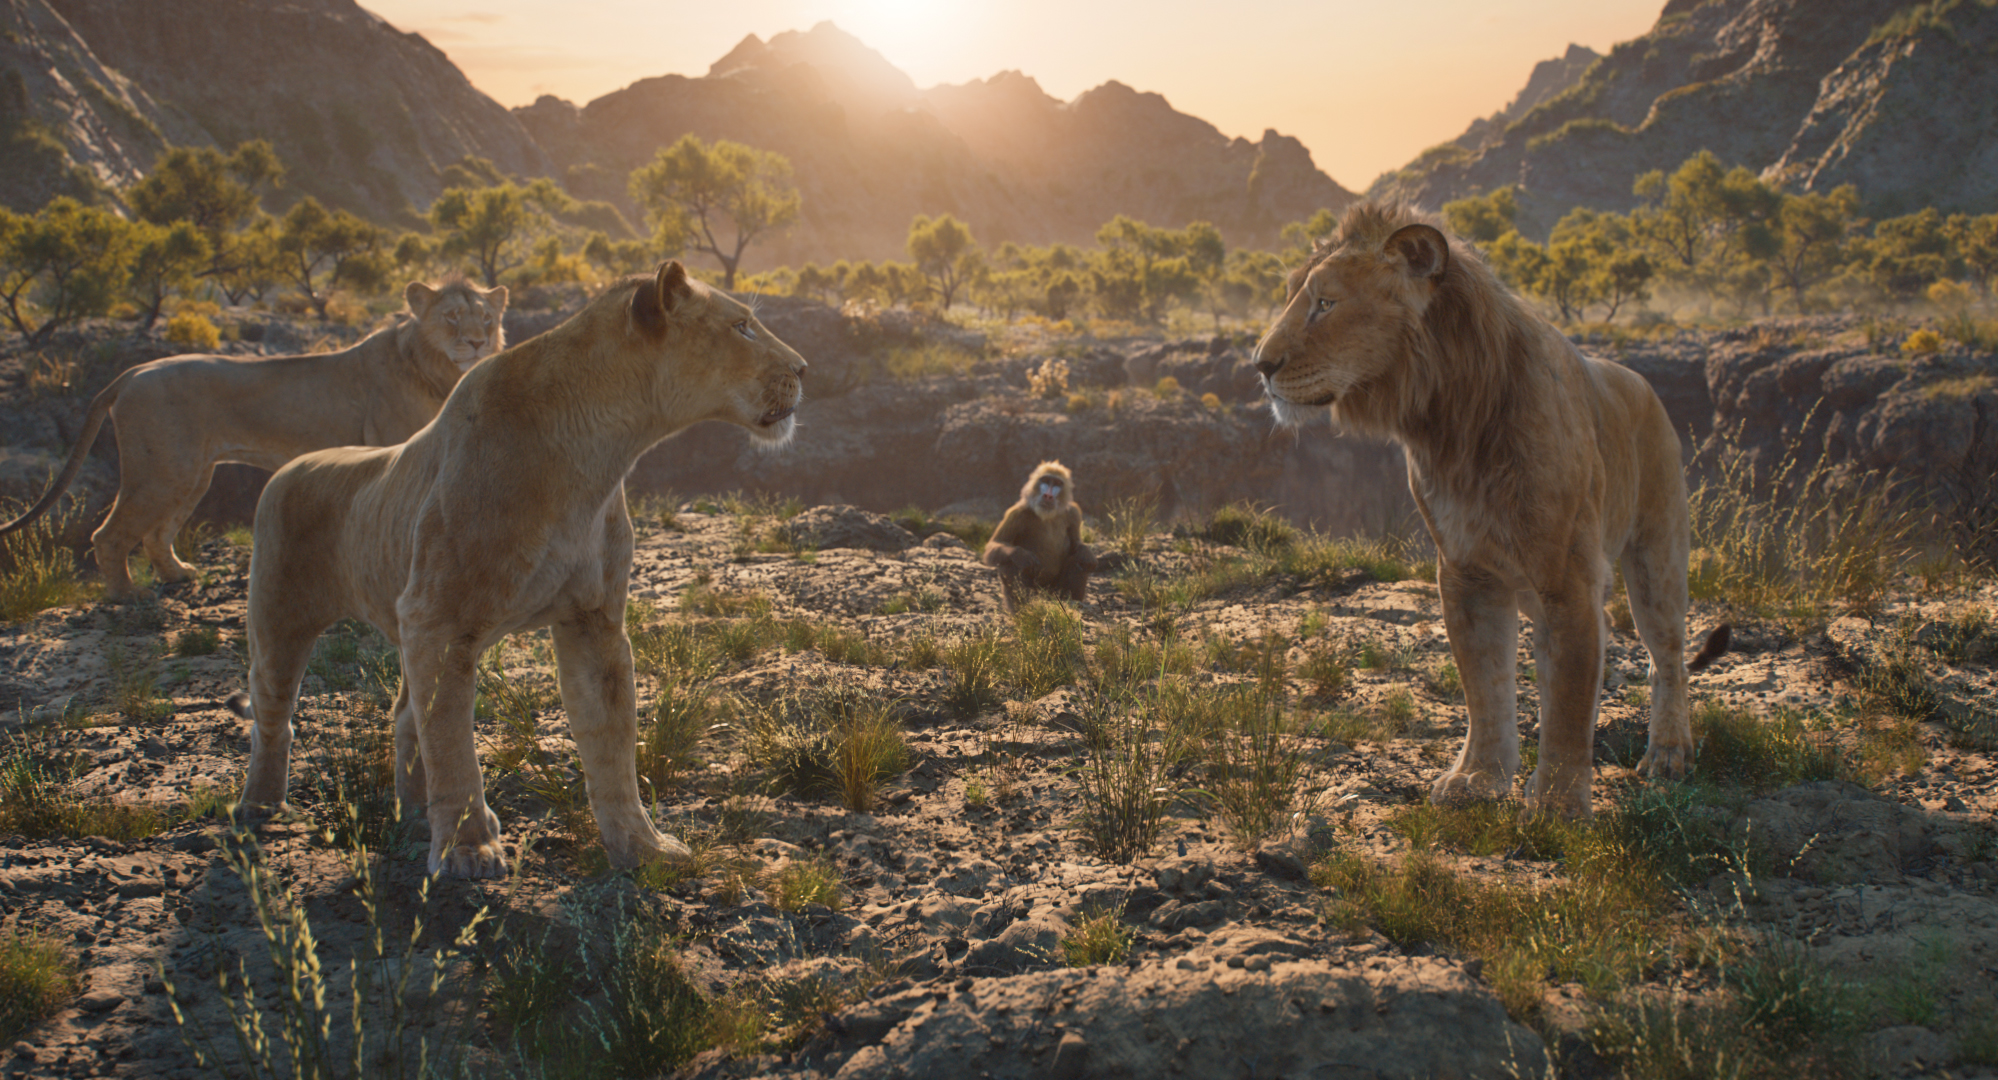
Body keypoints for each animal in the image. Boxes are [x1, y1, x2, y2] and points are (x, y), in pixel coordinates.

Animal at [0, 279, 507, 598]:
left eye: (486, 318)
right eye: (452, 317)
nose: (479, 343)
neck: (435, 368)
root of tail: (132, 373)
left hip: (191, 475)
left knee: (157, 533)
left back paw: (178, 575)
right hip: (161, 473)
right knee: (108, 535)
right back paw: (126, 599)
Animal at [226, 263, 803, 874]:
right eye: (741, 326)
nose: (803, 368)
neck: (598, 454)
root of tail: (289, 467)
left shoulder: (593, 620)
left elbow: (611, 740)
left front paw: (641, 846)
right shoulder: (437, 618)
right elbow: (453, 743)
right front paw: (467, 849)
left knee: (404, 715)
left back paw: (415, 816)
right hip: (280, 616)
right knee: (274, 711)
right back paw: (260, 806)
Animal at [1254, 201, 1726, 818]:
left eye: (1325, 303)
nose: (1260, 366)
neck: (1449, 423)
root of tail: (1639, 380)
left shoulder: (1568, 577)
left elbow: (1570, 697)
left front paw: (1557, 806)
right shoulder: (1465, 571)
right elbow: (1484, 683)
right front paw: (1478, 779)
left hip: (1657, 555)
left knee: (1666, 655)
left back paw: (1669, 753)